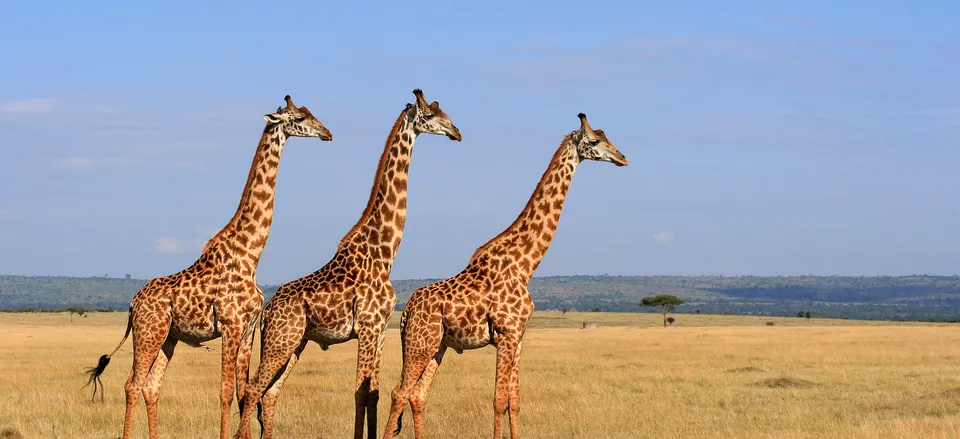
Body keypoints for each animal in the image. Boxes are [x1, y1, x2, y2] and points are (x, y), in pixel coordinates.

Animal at [87, 95, 334, 439]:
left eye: (311, 113)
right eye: (299, 118)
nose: (327, 133)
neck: (250, 255)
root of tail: (133, 304)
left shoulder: (248, 329)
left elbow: (243, 392)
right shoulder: (230, 325)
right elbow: (226, 392)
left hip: (168, 337)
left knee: (151, 386)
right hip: (149, 333)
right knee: (132, 384)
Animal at [231, 88, 460, 439]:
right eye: (432, 115)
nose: (456, 132)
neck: (384, 252)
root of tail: (268, 312)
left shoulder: (380, 329)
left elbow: (373, 393)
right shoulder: (366, 326)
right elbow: (360, 392)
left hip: (295, 343)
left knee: (269, 394)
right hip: (281, 341)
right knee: (254, 389)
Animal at [380, 113, 632, 439]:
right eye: (594, 140)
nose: (623, 158)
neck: (525, 265)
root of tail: (407, 310)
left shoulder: (519, 336)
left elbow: (515, 400)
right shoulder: (506, 333)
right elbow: (499, 400)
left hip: (437, 345)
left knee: (418, 394)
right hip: (420, 343)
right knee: (399, 392)